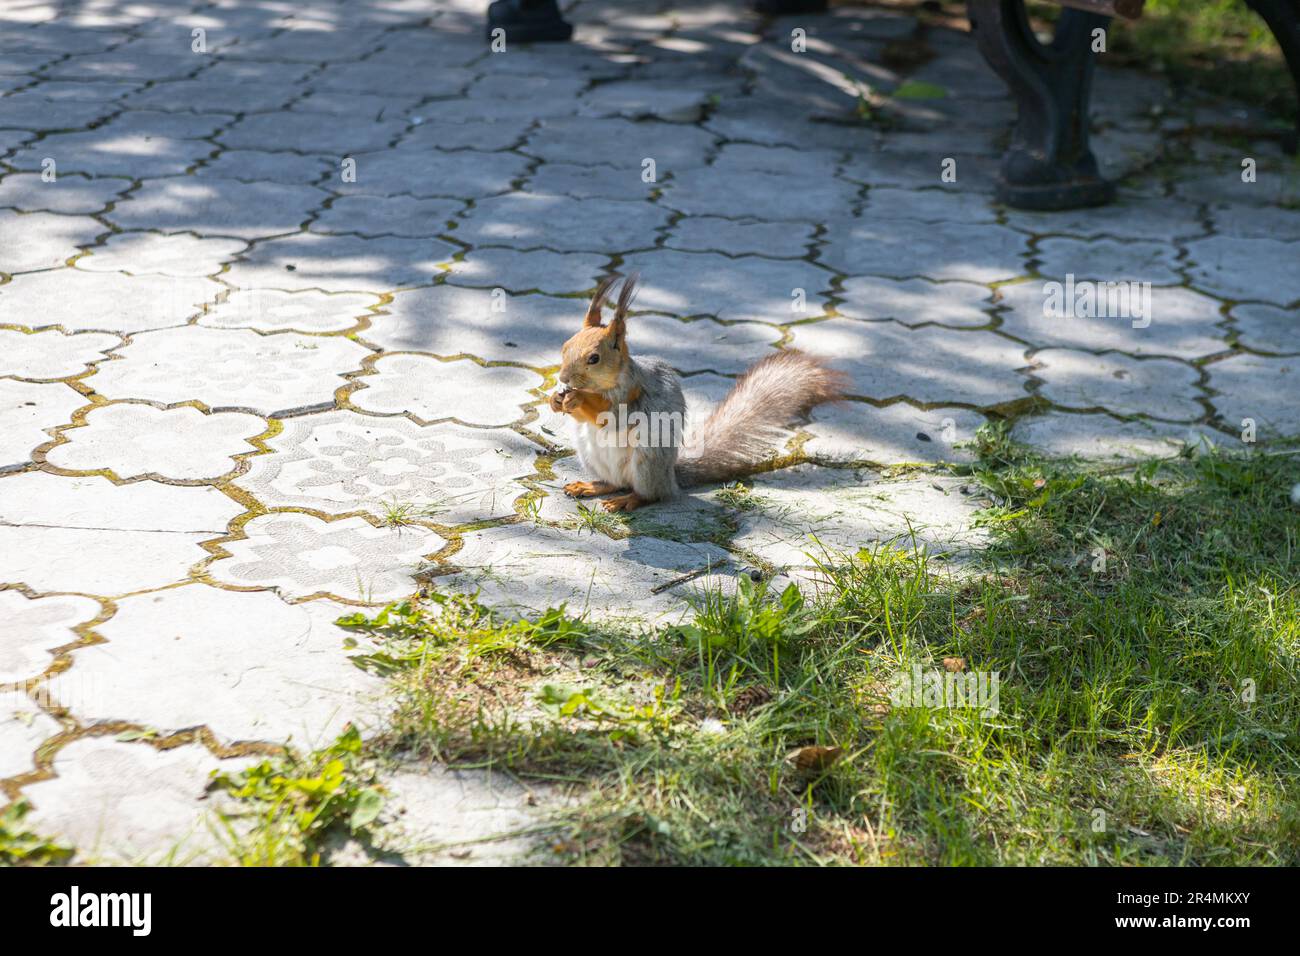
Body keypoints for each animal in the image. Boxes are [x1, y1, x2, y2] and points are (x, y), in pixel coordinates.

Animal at [548, 273, 844, 512]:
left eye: (594, 358)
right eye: (564, 346)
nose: (563, 378)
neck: (600, 386)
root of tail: (671, 478)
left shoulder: (633, 395)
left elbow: (610, 417)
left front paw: (578, 398)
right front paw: (556, 399)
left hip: (646, 461)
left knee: (649, 495)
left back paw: (628, 500)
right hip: (590, 455)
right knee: (614, 483)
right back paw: (591, 487)